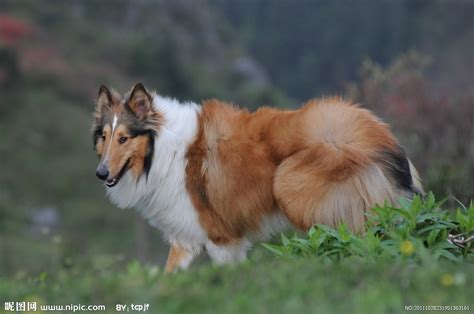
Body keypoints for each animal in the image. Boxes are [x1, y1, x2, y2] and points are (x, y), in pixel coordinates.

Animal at [91, 83, 422, 272]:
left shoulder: (222, 239)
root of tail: (377, 136)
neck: (163, 151)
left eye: (124, 138)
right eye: (104, 136)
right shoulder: (187, 238)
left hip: (293, 188)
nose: (101, 173)